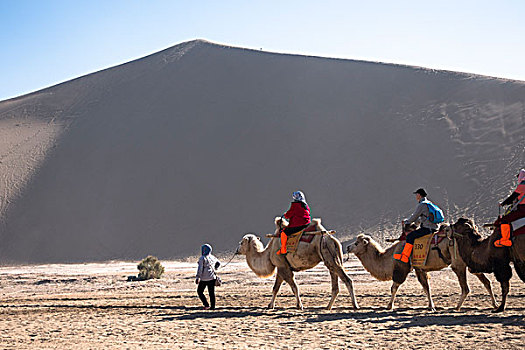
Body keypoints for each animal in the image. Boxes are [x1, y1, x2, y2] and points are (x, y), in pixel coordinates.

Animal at [346, 227, 494, 312]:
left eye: (357, 243)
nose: (347, 247)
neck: (389, 256)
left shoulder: (401, 267)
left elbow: (394, 287)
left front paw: (389, 306)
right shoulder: (419, 268)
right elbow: (426, 287)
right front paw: (431, 307)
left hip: (458, 263)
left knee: (465, 287)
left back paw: (457, 307)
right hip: (470, 263)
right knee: (487, 282)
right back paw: (495, 305)